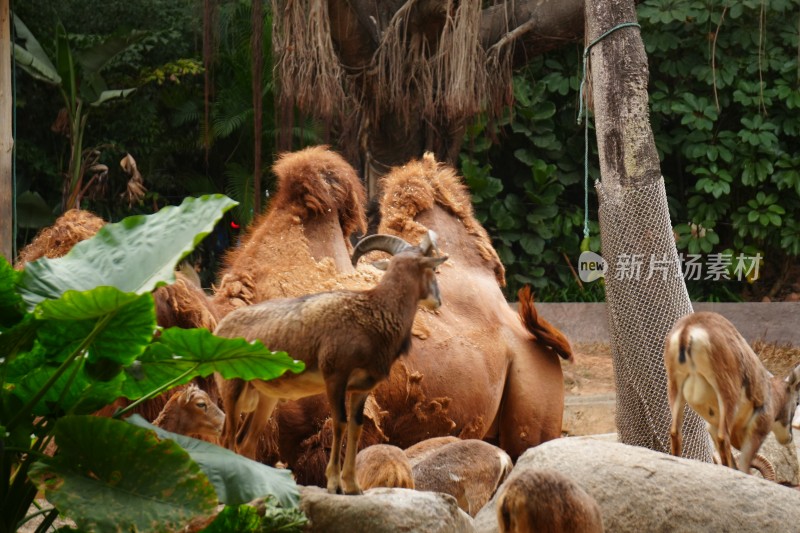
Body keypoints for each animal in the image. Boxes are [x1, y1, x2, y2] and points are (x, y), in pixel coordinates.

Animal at [216, 231, 446, 492]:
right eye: (431, 270)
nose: (438, 301)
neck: (374, 316)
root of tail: (219, 328)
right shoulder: (335, 380)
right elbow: (340, 424)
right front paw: (335, 484)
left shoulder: (361, 389)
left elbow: (355, 427)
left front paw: (353, 487)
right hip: (233, 390)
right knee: (227, 438)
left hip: (265, 399)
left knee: (245, 441)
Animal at [664, 312, 800, 474]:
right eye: (797, 402)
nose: (789, 437)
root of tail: (688, 329)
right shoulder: (756, 433)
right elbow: (743, 467)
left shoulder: (713, 427)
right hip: (727, 395)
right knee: (724, 438)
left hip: (675, 390)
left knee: (675, 434)